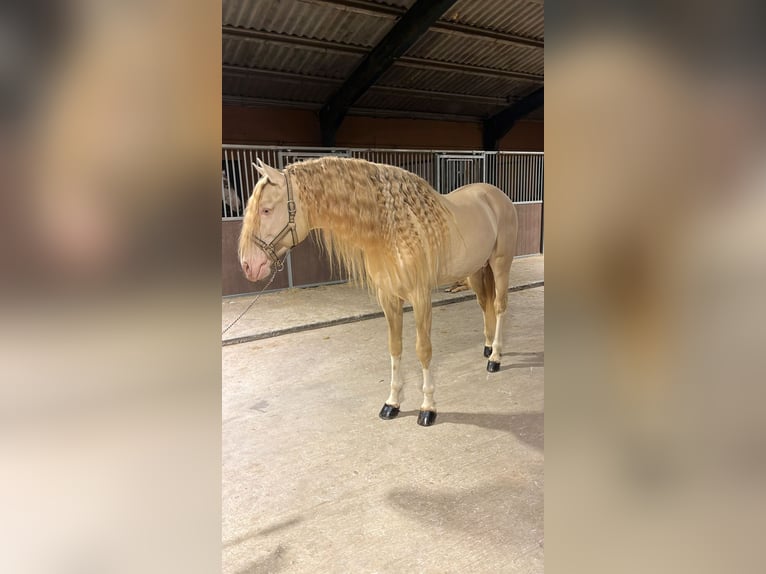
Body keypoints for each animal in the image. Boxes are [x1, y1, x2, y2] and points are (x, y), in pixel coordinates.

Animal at [237, 158, 520, 428]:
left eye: (266, 209)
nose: (249, 266)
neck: (392, 229)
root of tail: (497, 196)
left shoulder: (420, 297)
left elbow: (423, 349)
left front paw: (428, 408)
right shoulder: (389, 298)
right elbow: (395, 347)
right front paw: (392, 403)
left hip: (500, 264)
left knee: (499, 306)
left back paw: (495, 358)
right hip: (476, 271)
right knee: (484, 305)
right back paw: (488, 348)